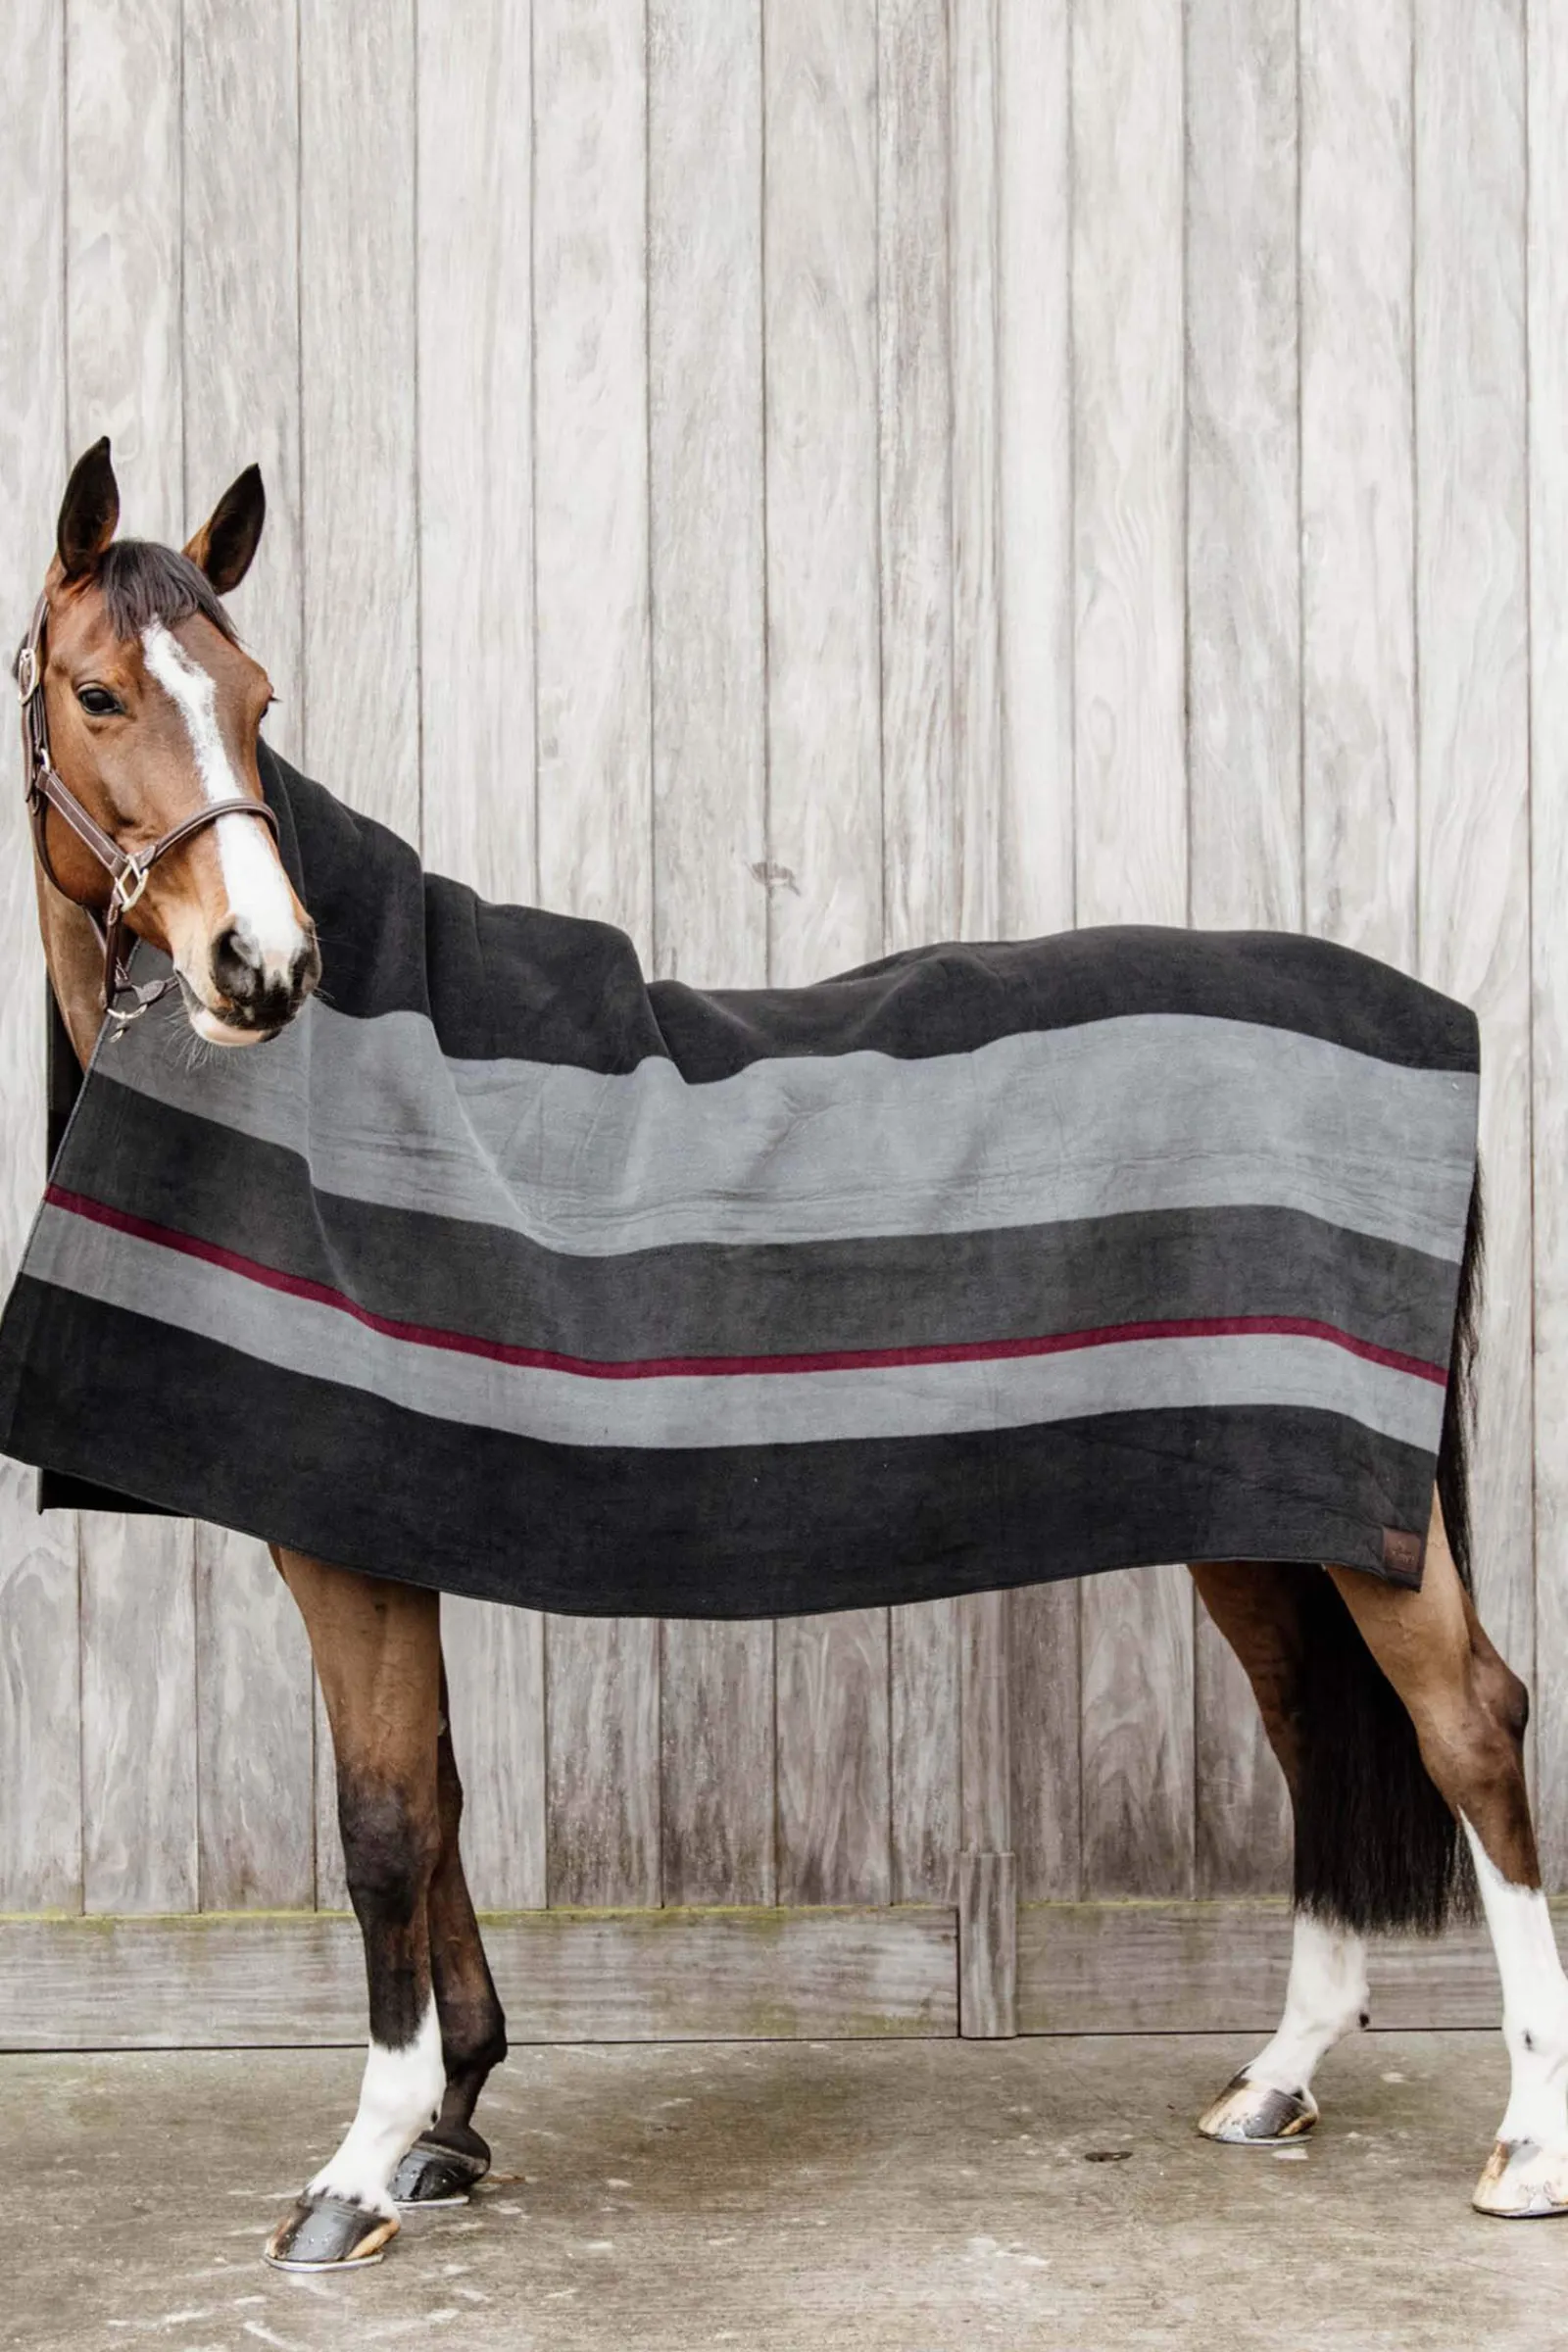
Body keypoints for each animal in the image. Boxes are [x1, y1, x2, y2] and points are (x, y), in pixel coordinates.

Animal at [9, 436, 1564, 2273]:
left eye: (254, 701)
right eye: (101, 692)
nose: (268, 966)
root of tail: (1428, 1022)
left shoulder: (348, 1545)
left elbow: (383, 1829)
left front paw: (361, 2168)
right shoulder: (399, 1522)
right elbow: (441, 1803)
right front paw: (454, 2121)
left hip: (1359, 1523)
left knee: (1472, 1723)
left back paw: (1530, 2142)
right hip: (1256, 1517)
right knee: (1318, 1733)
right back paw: (1278, 2080)